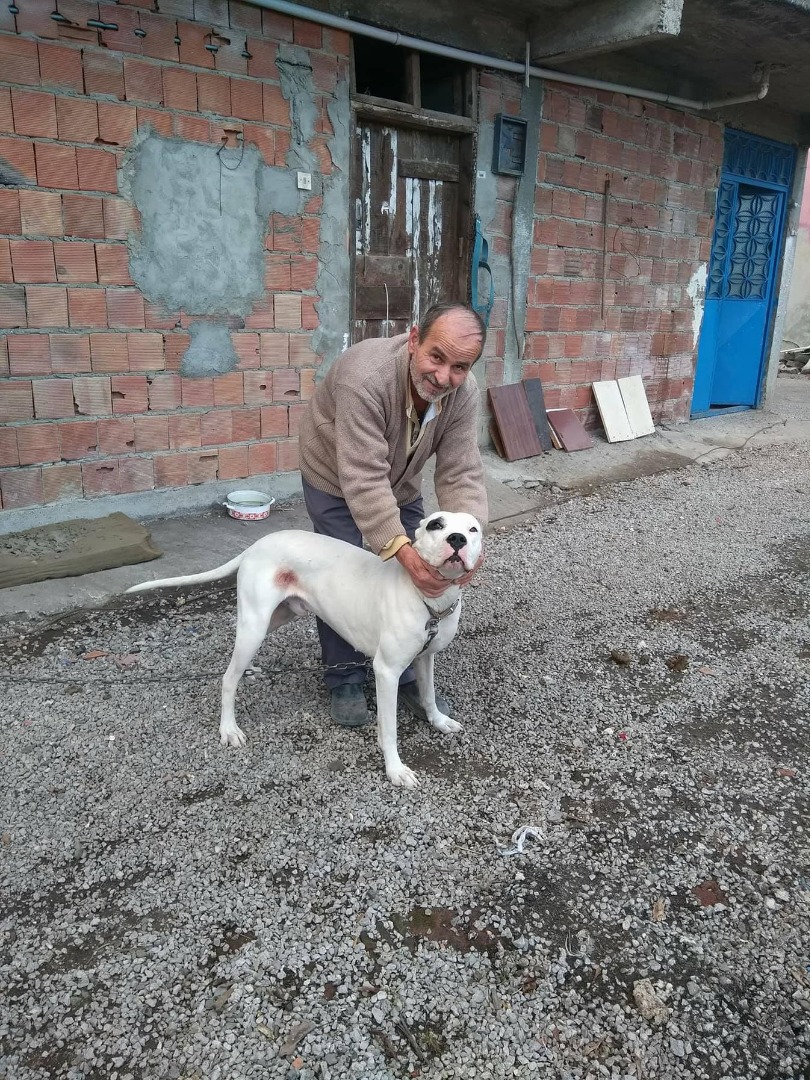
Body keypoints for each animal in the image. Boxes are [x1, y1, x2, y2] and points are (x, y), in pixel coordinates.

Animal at [126, 511, 482, 787]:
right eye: (436, 524)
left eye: (473, 529)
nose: (456, 540)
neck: (428, 598)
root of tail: (257, 544)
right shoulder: (386, 671)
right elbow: (389, 728)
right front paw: (395, 770)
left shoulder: (426, 657)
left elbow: (428, 694)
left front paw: (438, 721)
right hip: (256, 622)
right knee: (227, 678)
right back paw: (229, 728)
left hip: (276, 616)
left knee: (237, 658)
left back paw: (248, 669)